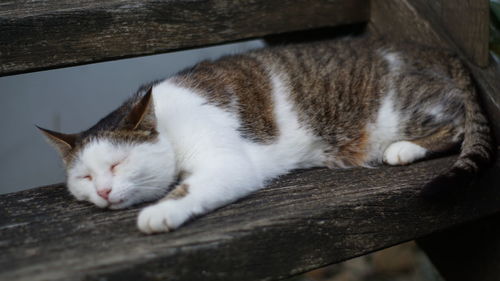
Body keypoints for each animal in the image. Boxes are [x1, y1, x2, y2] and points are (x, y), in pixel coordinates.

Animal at [38, 37, 492, 234]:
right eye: (85, 178)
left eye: (118, 164)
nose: (103, 192)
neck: (169, 123)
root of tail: (431, 49)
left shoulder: (227, 162)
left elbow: (190, 189)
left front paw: (158, 213)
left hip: (401, 107)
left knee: (458, 121)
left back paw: (404, 149)